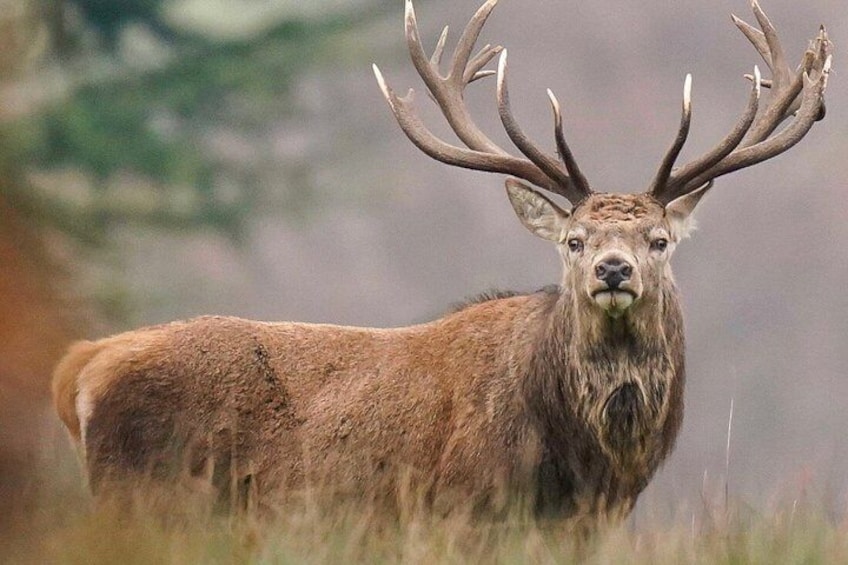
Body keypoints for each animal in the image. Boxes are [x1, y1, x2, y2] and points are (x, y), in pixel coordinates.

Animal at [53, 0, 830, 526]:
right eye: (573, 240)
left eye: (659, 239)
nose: (613, 269)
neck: (587, 466)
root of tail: (83, 366)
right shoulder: (462, 509)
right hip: (146, 496)